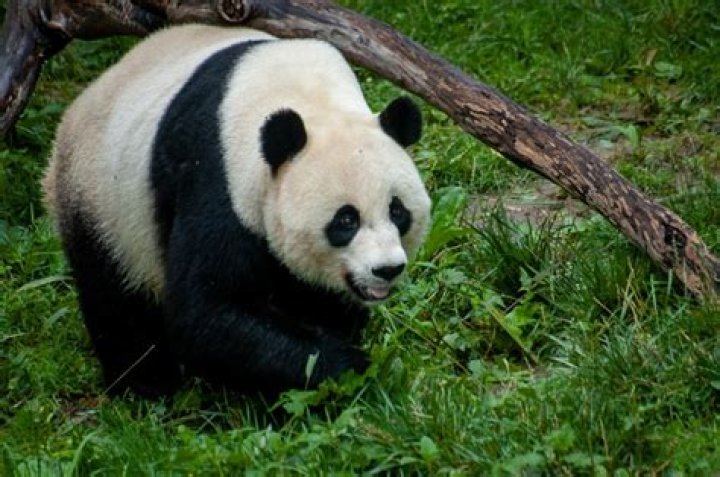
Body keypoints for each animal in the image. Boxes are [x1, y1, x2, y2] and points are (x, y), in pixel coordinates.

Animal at [43, 24, 431, 397]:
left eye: (398, 212)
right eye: (346, 220)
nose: (386, 270)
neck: (311, 100)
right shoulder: (216, 175)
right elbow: (206, 309)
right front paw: (345, 365)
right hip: (102, 201)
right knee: (114, 299)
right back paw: (146, 384)